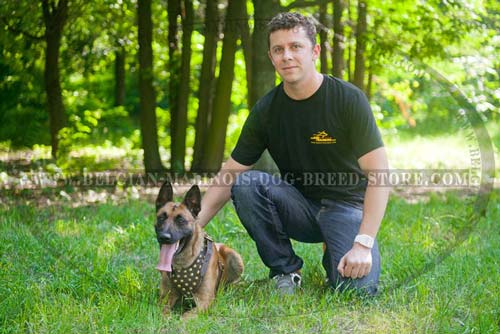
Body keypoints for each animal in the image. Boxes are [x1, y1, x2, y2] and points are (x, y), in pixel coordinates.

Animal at [154, 181, 244, 318]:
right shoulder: (165, 298)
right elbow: (163, 313)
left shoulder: (204, 301)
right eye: (161, 218)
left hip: (235, 258)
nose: (164, 237)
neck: (182, 263)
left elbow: (185, 316)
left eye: (181, 220)